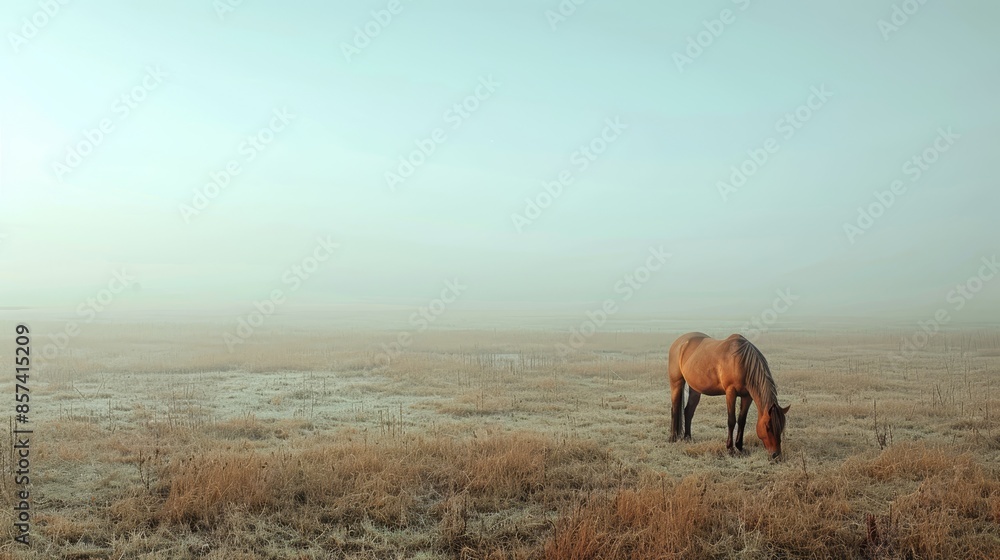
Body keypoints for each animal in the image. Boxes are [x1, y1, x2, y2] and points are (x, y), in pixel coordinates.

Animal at [672, 332, 788, 460]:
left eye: (781, 426)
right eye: (768, 427)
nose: (776, 454)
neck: (743, 362)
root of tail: (680, 341)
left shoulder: (747, 396)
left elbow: (742, 420)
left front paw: (740, 447)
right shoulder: (730, 392)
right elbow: (731, 420)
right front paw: (730, 449)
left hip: (695, 389)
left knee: (688, 411)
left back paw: (687, 437)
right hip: (676, 383)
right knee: (675, 408)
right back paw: (673, 438)